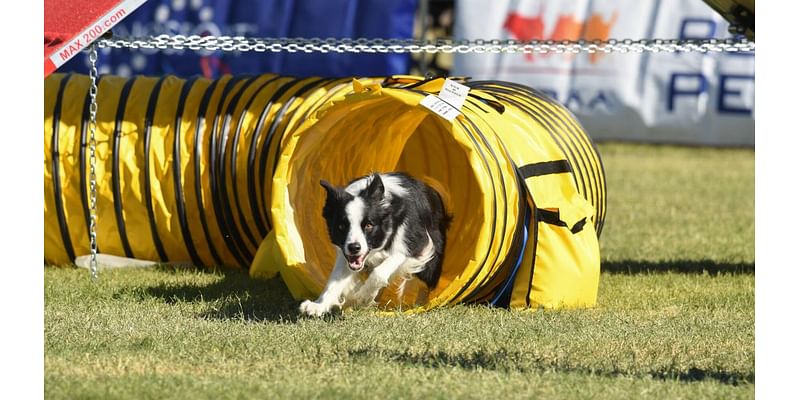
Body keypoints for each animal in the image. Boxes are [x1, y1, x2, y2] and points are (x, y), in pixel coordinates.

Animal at [298, 172, 450, 316]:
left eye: (369, 225)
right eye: (341, 226)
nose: (354, 248)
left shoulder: (415, 244)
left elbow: (380, 272)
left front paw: (362, 297)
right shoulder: (345, 253)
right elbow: (335, 279)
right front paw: (319, 305)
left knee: (426, 282)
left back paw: (420, 304)